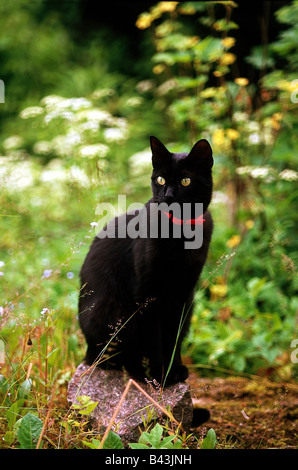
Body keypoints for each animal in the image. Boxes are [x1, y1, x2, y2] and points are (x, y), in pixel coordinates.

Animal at [79, 135, 213, 386]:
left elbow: (173, 337)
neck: (179, 233)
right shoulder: (147, 294)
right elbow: (155, 339)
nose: (168, 195)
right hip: (117, 311)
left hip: (189, 306)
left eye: (186, 181)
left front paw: (173, 370)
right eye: (161, 179)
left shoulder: (182, 293)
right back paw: (138, 373)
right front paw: (160, 374)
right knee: (113, 357)